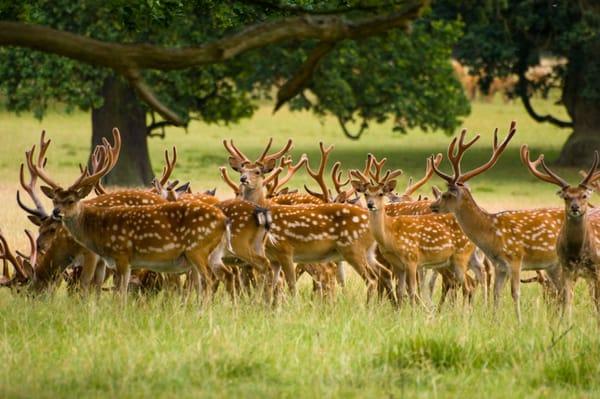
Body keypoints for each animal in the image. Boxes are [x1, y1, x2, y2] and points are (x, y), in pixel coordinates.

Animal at [29, 128, 232, 300]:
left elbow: (92, 285)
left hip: (191, 252)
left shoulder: (103, 255)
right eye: (54, 200)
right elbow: (99, 286)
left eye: (71, 200)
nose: (56, 212)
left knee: (199, 280)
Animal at [350, 155, 476, 308]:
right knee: (466, 282)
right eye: (366, 193)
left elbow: (411, 289)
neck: (390, 237)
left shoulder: (412, 259)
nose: (370, 204)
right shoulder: (396, 264)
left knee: (466, 284)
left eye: (381, 193)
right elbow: (400, 290)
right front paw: (399, 310)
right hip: (450, 262)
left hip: (459, 257)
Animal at [428, 121, 564, 322]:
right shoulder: (500, 266)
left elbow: (515, 292)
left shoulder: (516, 258)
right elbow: (496, 293)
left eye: (446, 195)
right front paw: (494, 321)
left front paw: (519, 322)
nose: (432, 206)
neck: (491, 236)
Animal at [520, 145, 600, 320]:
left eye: (584, 195)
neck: (578, 253)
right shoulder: (566, 269)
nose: (575, 207)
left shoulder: (597, 267)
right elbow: (567, 303)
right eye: (566, 197)